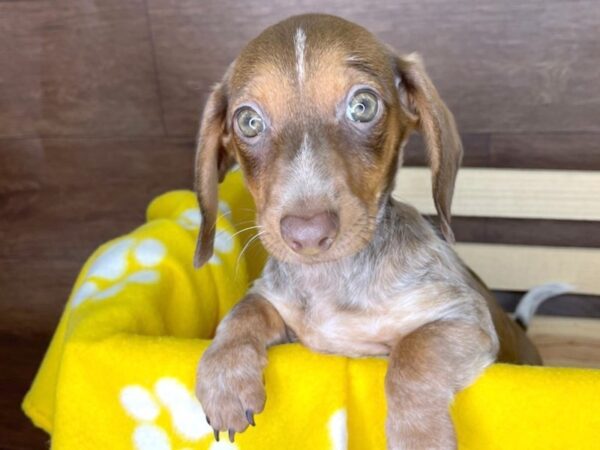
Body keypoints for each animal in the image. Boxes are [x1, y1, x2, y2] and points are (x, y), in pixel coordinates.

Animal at [195, 14, 540, 450]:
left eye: (363, 106)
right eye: (248, 121)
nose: (308, 234)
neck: (333, 282)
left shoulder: (462, 318)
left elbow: (411, 355)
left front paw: (419, 436)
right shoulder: (278, 310)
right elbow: (243, 312)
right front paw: (224, 377)